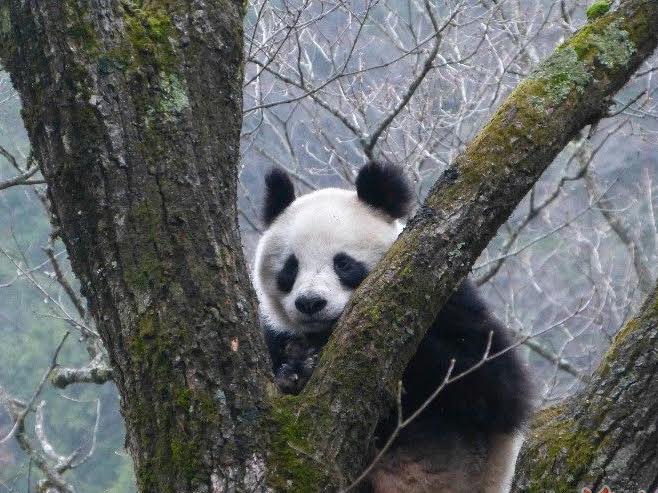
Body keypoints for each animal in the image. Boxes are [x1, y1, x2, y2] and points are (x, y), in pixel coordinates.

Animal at [251, 162, 532, 492]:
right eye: (290, 268)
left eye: (343, 263)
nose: (310, 303)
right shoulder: (275, 332)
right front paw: (294, 371)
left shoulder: (449, 303)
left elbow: (498, 389)